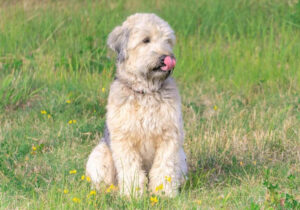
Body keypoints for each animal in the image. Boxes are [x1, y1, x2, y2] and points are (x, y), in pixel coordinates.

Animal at [85, 13, 188, 197]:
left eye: (167, 40)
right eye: (146, 40)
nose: (166, 58)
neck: (146, 92)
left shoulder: (170, 137)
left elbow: (164, 167)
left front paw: (164, 193)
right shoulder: (124, 139)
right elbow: (131, 169)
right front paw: (133, 195)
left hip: (182, 158)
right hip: (100, 155)